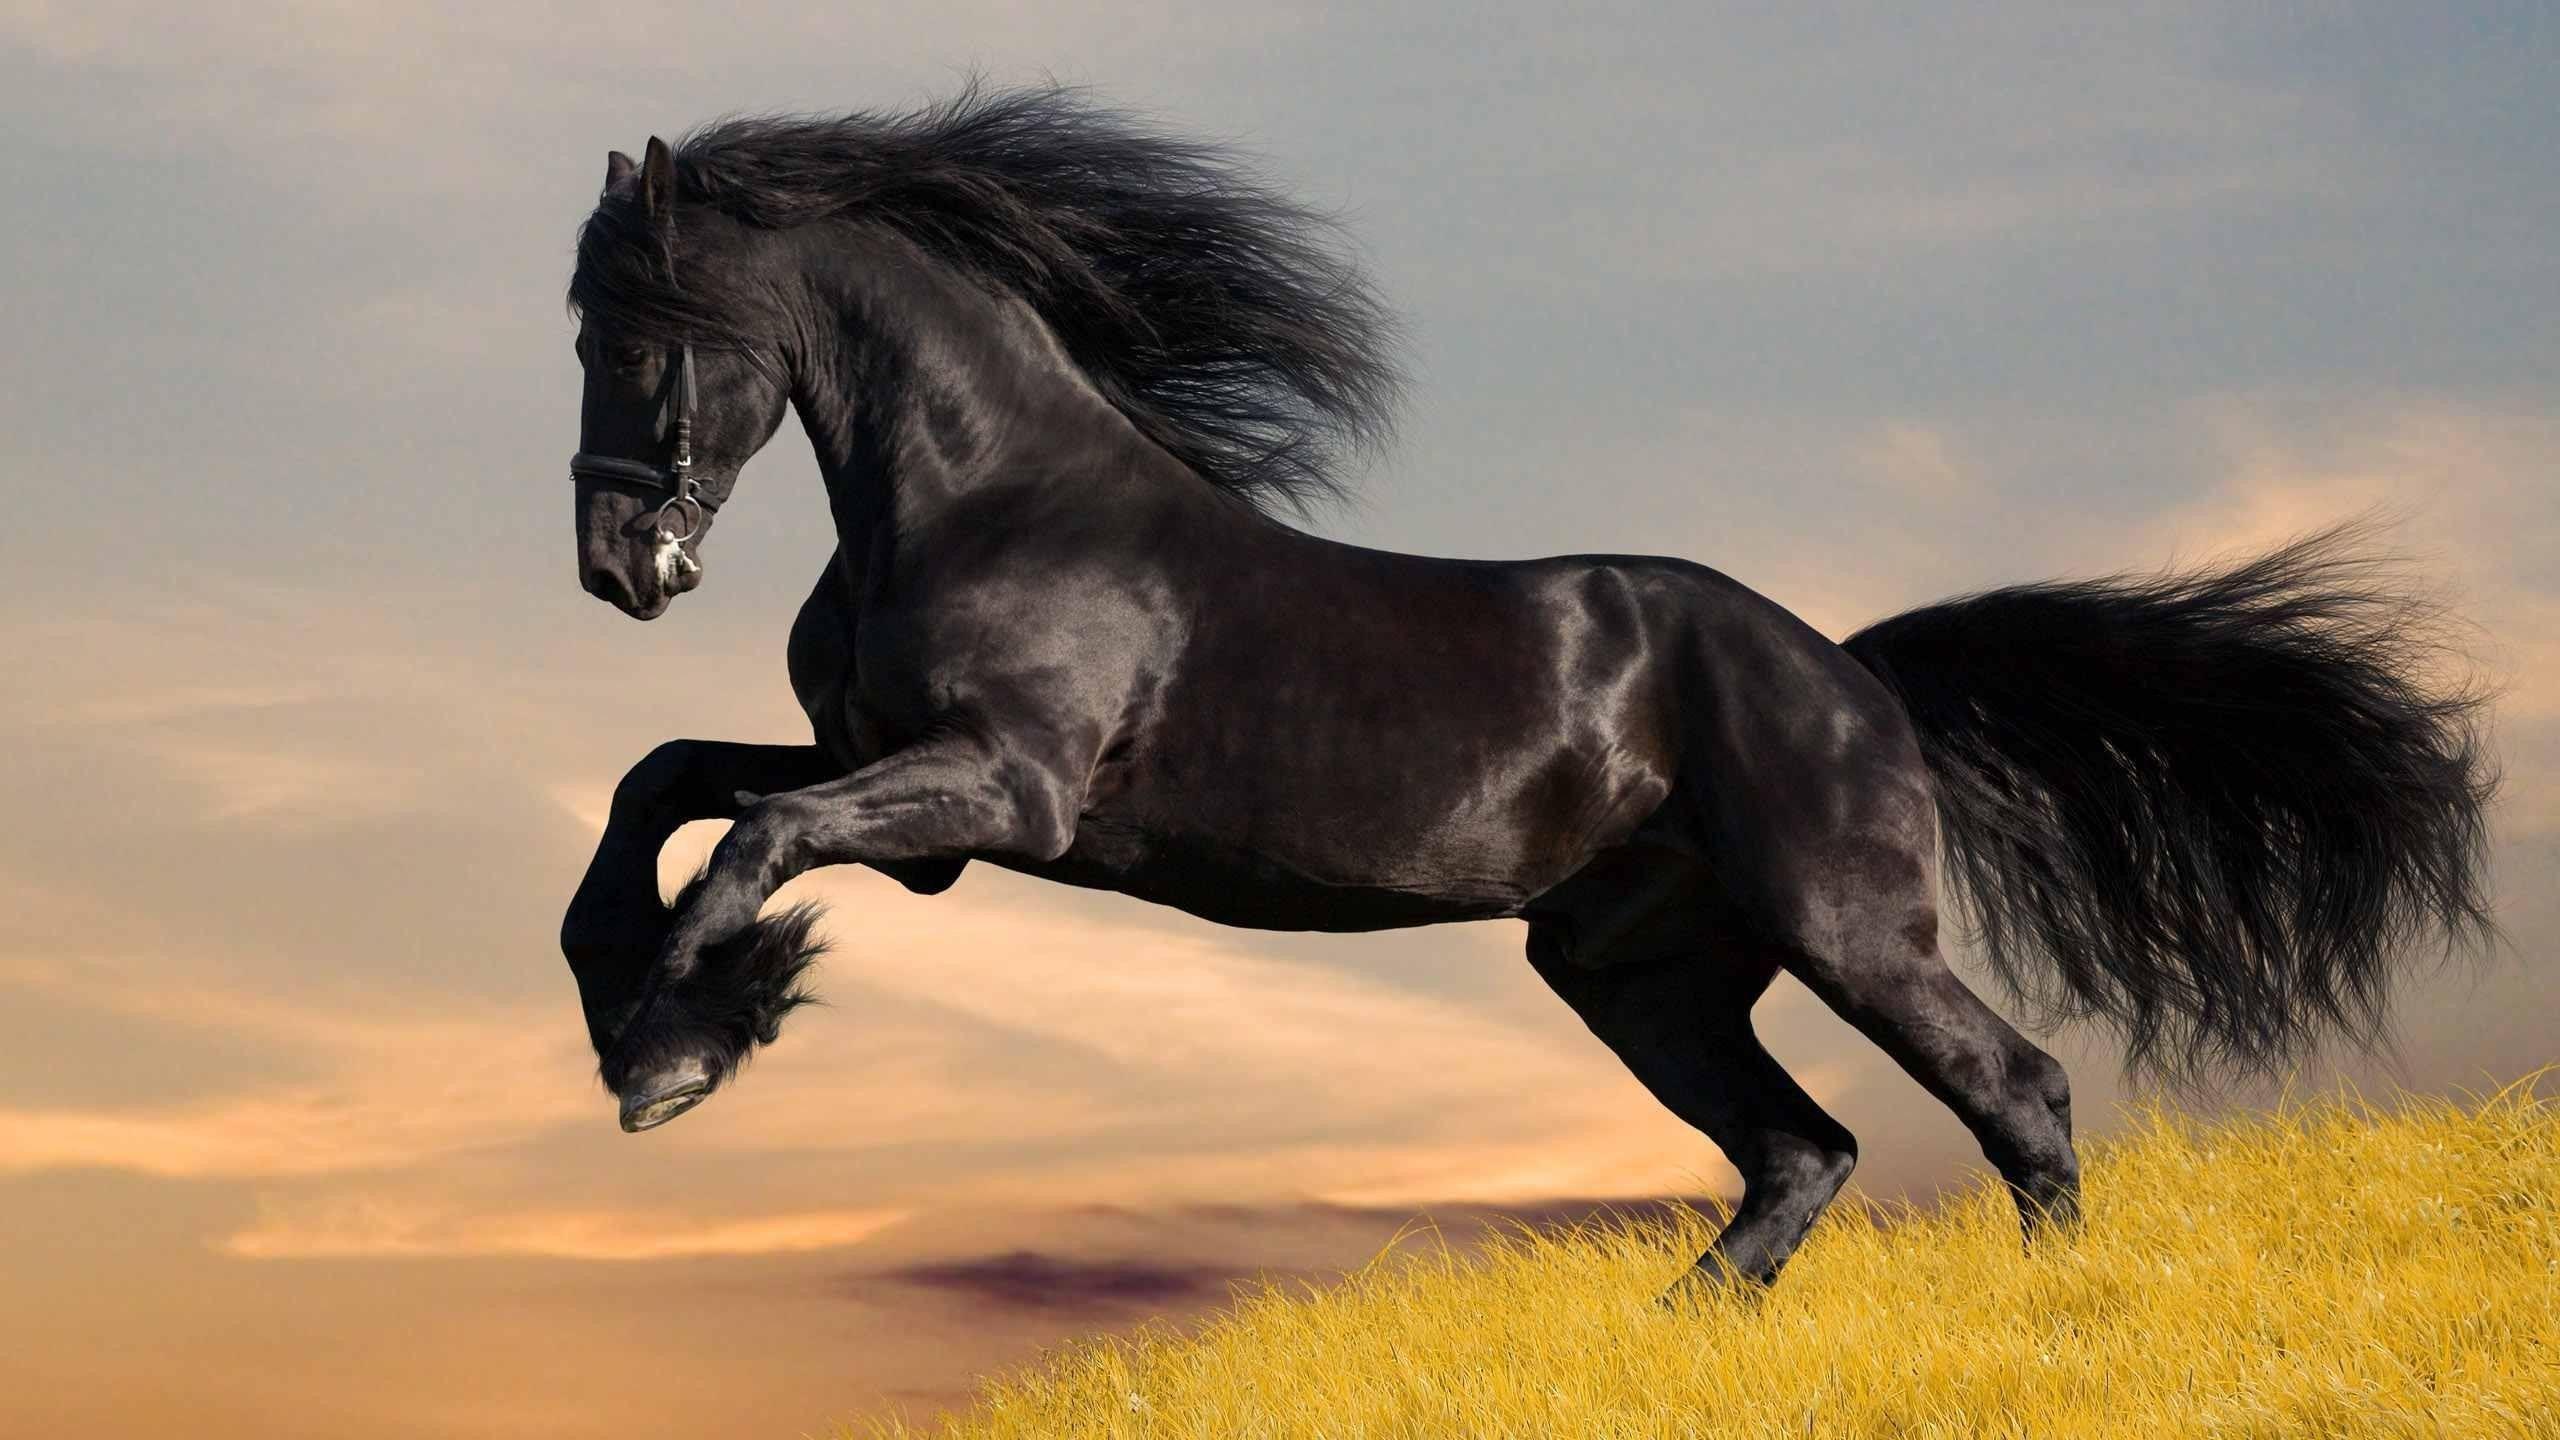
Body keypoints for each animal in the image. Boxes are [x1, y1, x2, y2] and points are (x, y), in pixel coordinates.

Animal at [556, 85, 2498, 1292]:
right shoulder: (902, 789)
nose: (614, 567)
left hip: (1845, 928)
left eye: (637, 333)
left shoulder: (1001, 796)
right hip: (1637, 970)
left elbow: (749, 844)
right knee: (1800, 1152)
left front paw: (677, 1049)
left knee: (2012, 1093)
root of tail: (1853, 674)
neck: (988, 494)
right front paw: (650, 1011)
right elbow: (665, 784)